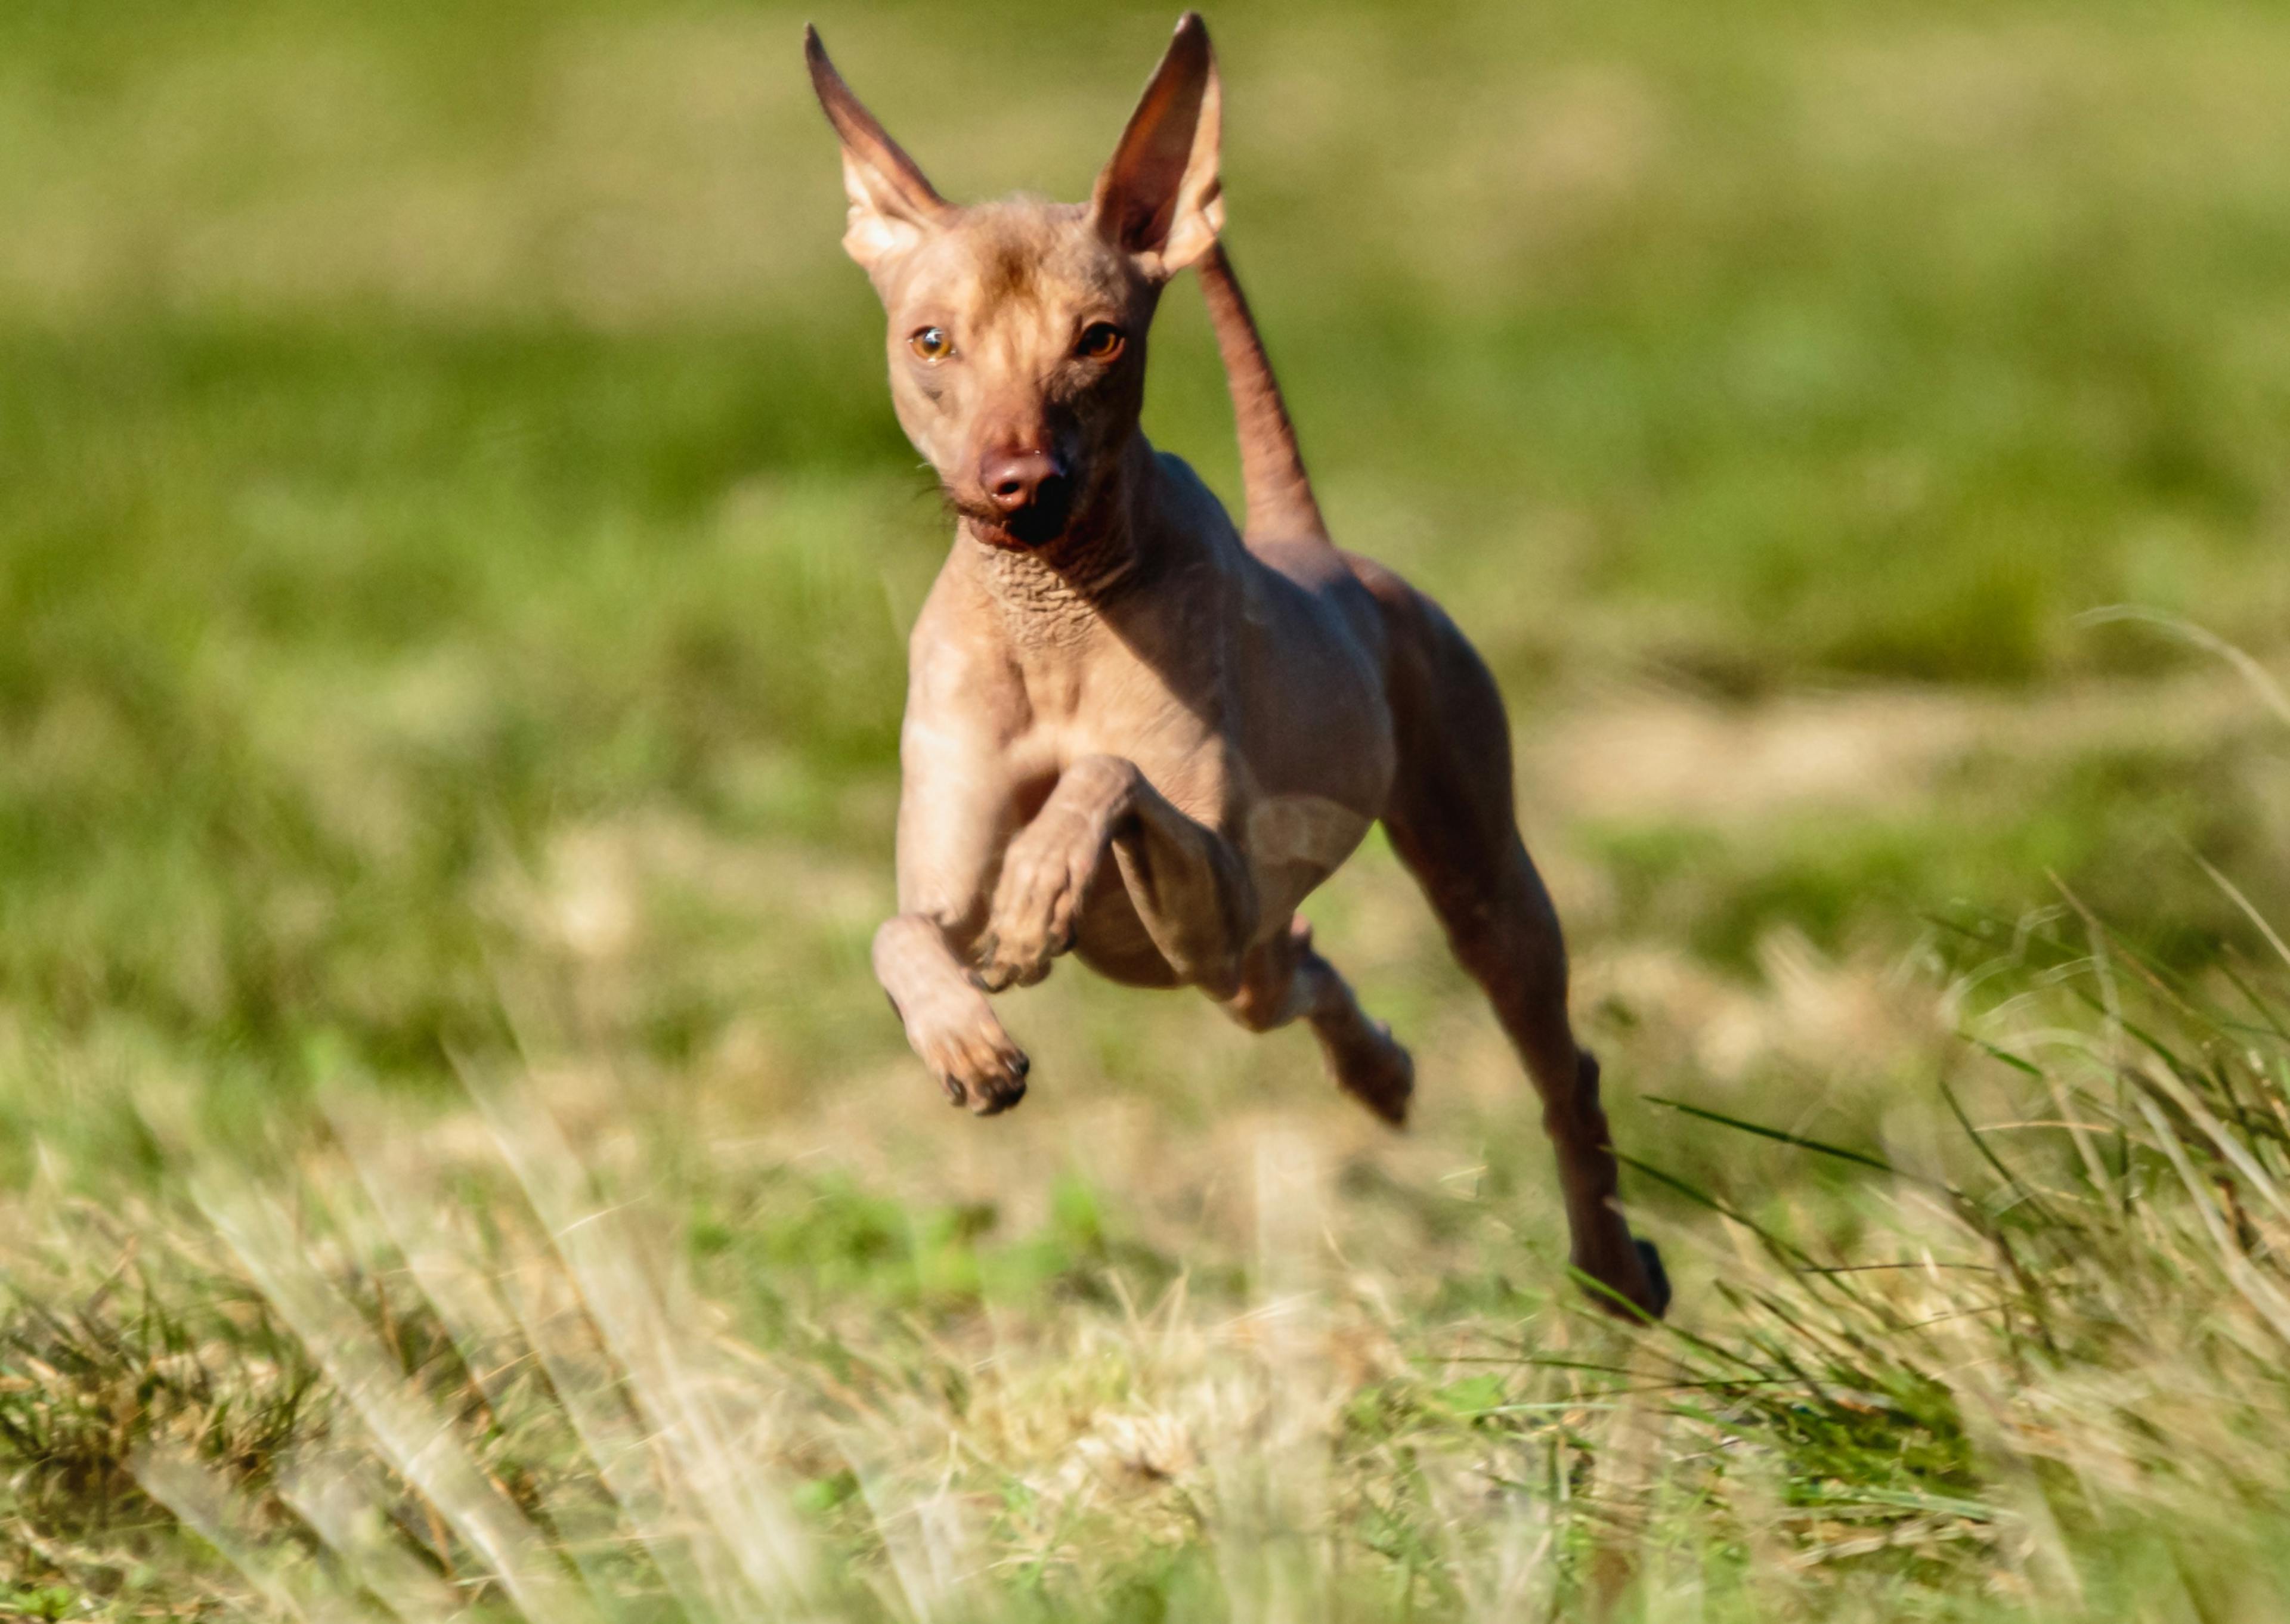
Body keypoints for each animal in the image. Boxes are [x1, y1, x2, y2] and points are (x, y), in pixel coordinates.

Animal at [806, 13, 1667, 1310]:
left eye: (1099, 339)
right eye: (932, 340)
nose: (1019, 483)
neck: (1054, 616)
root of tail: (1313, 545)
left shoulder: (1212, 886)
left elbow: (1107, 777)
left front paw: (1042, 886)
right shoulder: (956, 882)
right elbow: (899, 932)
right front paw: (966, 1038)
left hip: (1469, 884)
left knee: (1561, 1065)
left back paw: (1614, 1261)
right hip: (1241, 966)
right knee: (1301, 967)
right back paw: (1379, 1072)